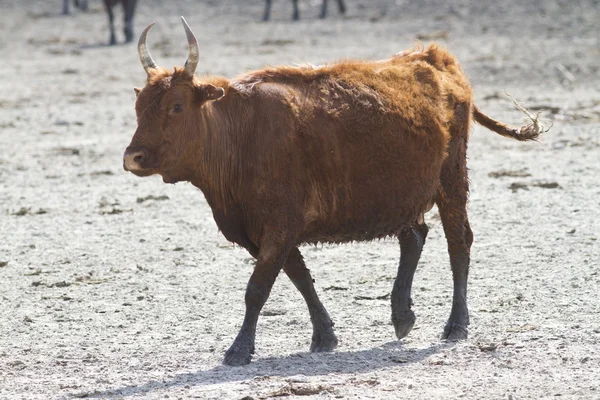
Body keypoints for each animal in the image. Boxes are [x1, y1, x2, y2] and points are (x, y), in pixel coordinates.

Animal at [123, 17, 544, 366]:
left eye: (176, 106)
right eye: (139, 106)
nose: (133, 157)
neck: (239, 132)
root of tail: (433, 57)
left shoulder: (280, 224)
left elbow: (258, 288)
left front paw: (239, 349)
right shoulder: (262, 231)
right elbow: (298, 276)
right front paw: (324, 335)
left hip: (451, 179)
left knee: (459, 241)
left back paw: (456, 324)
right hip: (405, 194)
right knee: (414, 237)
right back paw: (402, 314)